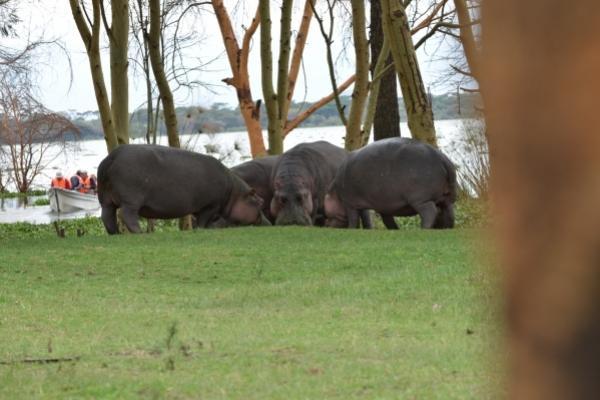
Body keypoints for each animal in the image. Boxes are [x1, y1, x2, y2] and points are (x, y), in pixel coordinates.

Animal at [96, 144, 270, 233]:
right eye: (260, 202)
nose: (269, 222)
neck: (234, 193)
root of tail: (110, 157)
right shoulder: (210, 205)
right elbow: (203, 221)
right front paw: (203, 229)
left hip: (105, 198)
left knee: (107, 216)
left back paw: (115, 233)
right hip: (131, 200)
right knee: (128, 215)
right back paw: (140, 233)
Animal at [326, 138, 458, 230]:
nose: (326, 225)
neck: (334, 191)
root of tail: (442, 158)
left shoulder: (350, 203)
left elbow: (353, 219)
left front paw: (351, 229)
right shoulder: (383, 205)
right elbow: (379, 219)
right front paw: (393, 230)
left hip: (421, 200)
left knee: (430, 212)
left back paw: (423, 229)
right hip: (446, 198)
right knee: (448, 212)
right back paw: (447, 228)